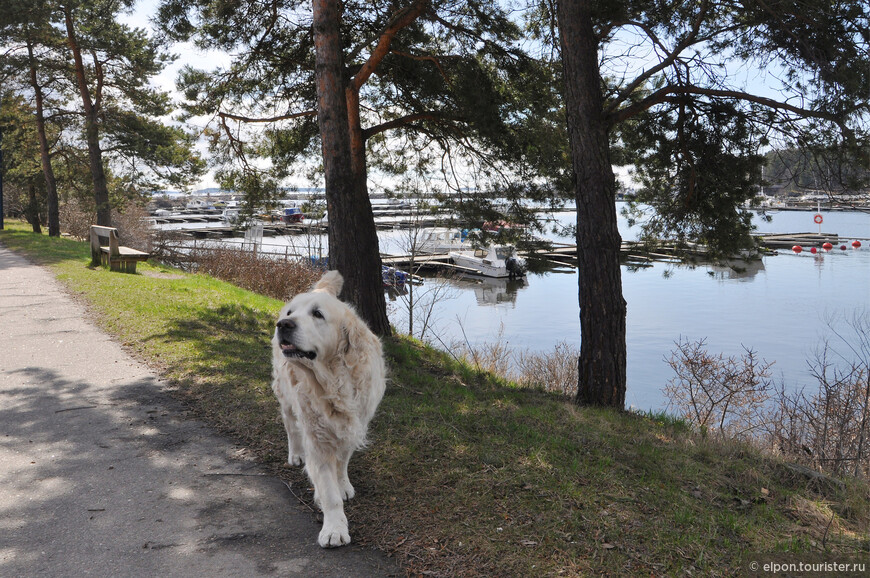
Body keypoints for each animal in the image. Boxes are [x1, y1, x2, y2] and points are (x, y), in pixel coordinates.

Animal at [270, 268, 384, 544]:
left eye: (318, 314)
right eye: (291, 313)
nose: (284, 324)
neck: (332, 381)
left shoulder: (353, 425)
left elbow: (342, 463)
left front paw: (342, 485)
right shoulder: (317, 438)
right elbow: (328, 490)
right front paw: (334, 528)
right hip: (286, 399)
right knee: (292, 429)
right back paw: (296, 454)